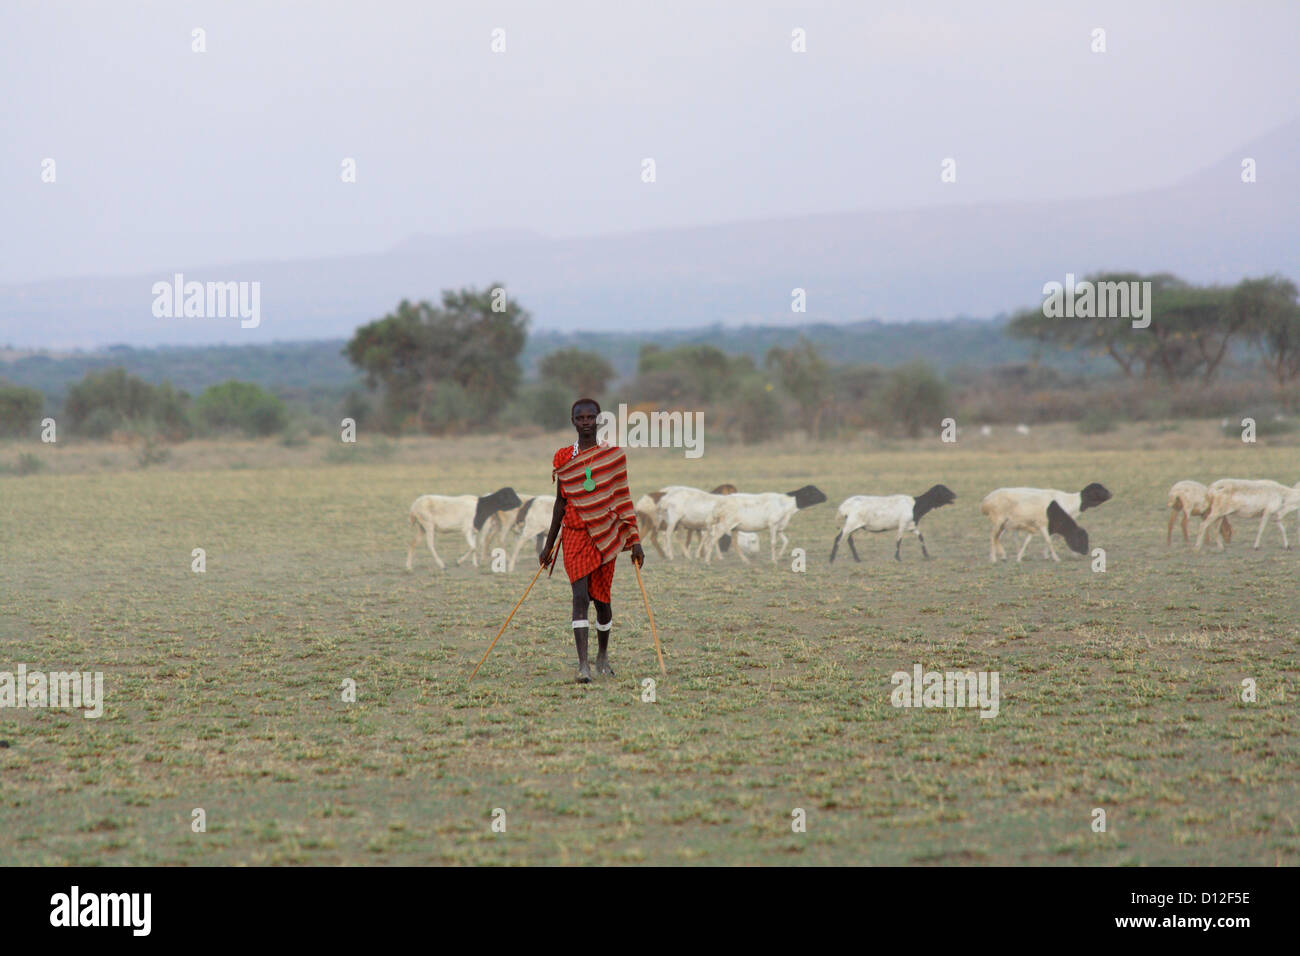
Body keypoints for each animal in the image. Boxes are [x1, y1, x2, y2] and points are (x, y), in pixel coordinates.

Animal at [977, 481, 1112, 564]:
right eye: (1099, 489)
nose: (1111, 494)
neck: (1070, 502)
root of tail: (986, 501)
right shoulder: (1046, 525)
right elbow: (1050, 540)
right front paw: (1055, 557)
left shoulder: (1046, 526)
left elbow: (1044, 539)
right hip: (999, 521)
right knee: (993, 536)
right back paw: (994, 558)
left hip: (1004, 523)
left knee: (997, 537)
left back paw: (1003, 556)